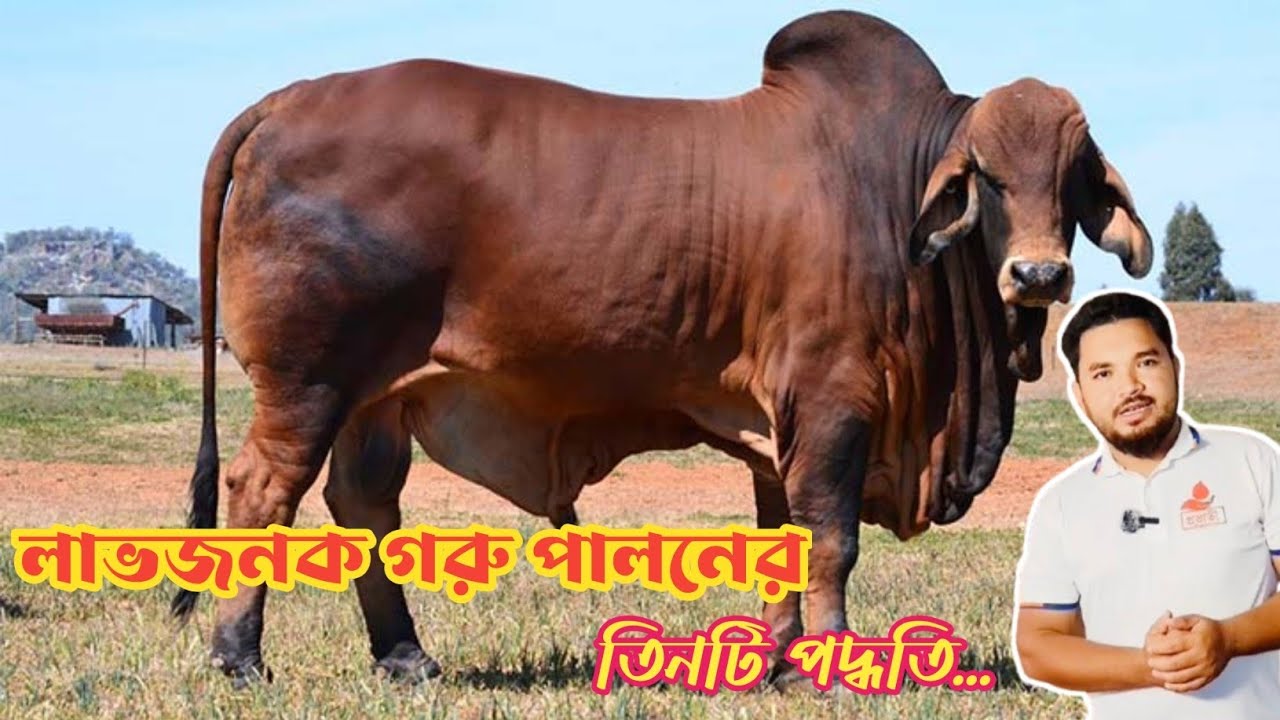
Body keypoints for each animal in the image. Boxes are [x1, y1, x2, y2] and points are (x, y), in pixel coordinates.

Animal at [171, 10, 1152, 687]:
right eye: (986, 177)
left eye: (1072, 179)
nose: (1037, 274)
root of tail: (285, 99)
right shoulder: (833, 400)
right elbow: (831, 536)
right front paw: (835, 664)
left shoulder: (777, 424)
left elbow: (782, 536)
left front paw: (781, 662)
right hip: (307, 382)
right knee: (262, 492)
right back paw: (240, 659)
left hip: (375, 394)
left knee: (363, 501)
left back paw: (406, 657)